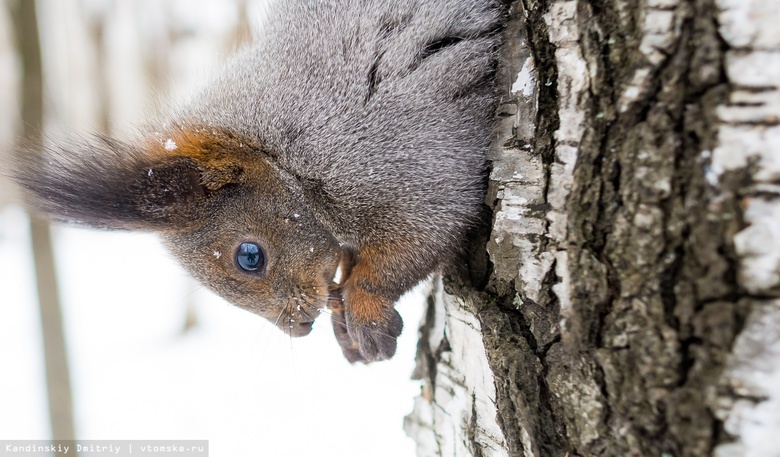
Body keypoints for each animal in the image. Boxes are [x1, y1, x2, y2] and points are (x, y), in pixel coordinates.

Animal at [15, 0, 508, 364]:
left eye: (249, 257)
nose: (299, 329)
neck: (277, 155)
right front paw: (342, 322)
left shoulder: (388, 155)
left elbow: (421, 232)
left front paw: (363, 309)